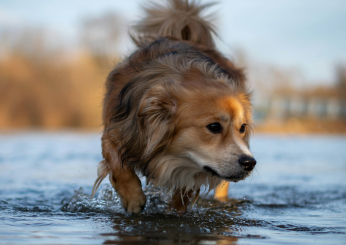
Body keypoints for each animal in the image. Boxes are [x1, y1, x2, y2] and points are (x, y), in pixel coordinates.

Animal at [90, 0, 255, 213]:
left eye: (242, 128)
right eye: (214, 127)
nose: (250, 162)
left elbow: (183, 194)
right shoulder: (118, 131)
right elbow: (118, 164)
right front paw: (133, 199)